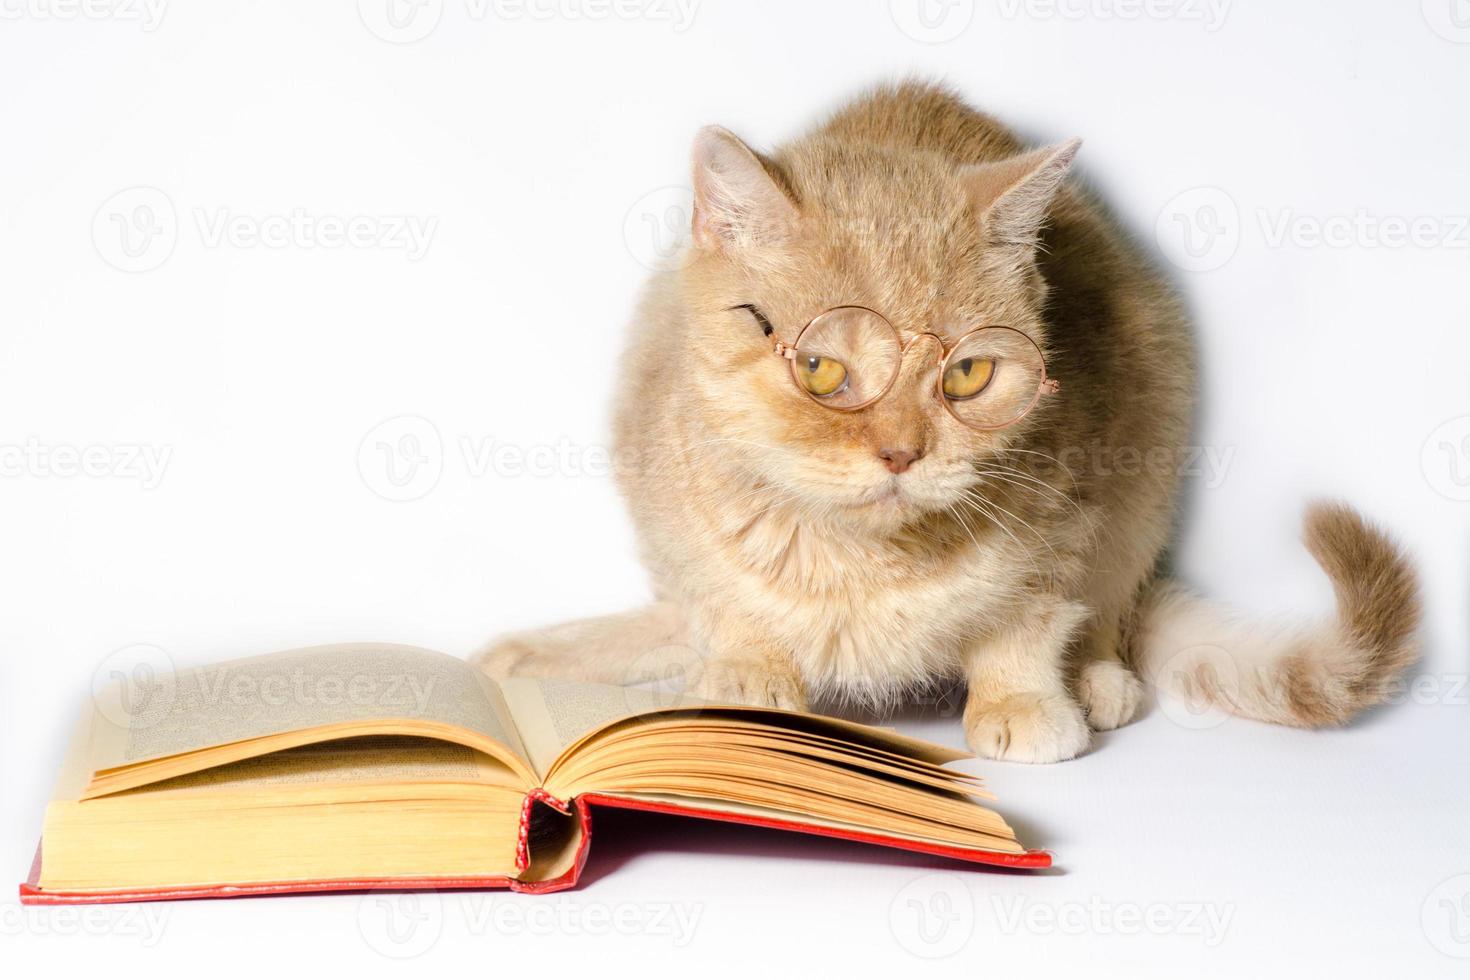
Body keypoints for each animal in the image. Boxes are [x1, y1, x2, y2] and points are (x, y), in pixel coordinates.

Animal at [476, 80, 1417, 764]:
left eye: (966, 374)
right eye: (822, 369)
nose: (901, 452)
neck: (861, 565)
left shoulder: (1072, 520)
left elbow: (1026, 623)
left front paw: (1026, 700)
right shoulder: (670, 510)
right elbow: (727, 604)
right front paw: (742, 669)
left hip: (1150, 463)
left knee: (1112, 606)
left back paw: (1099, 679)